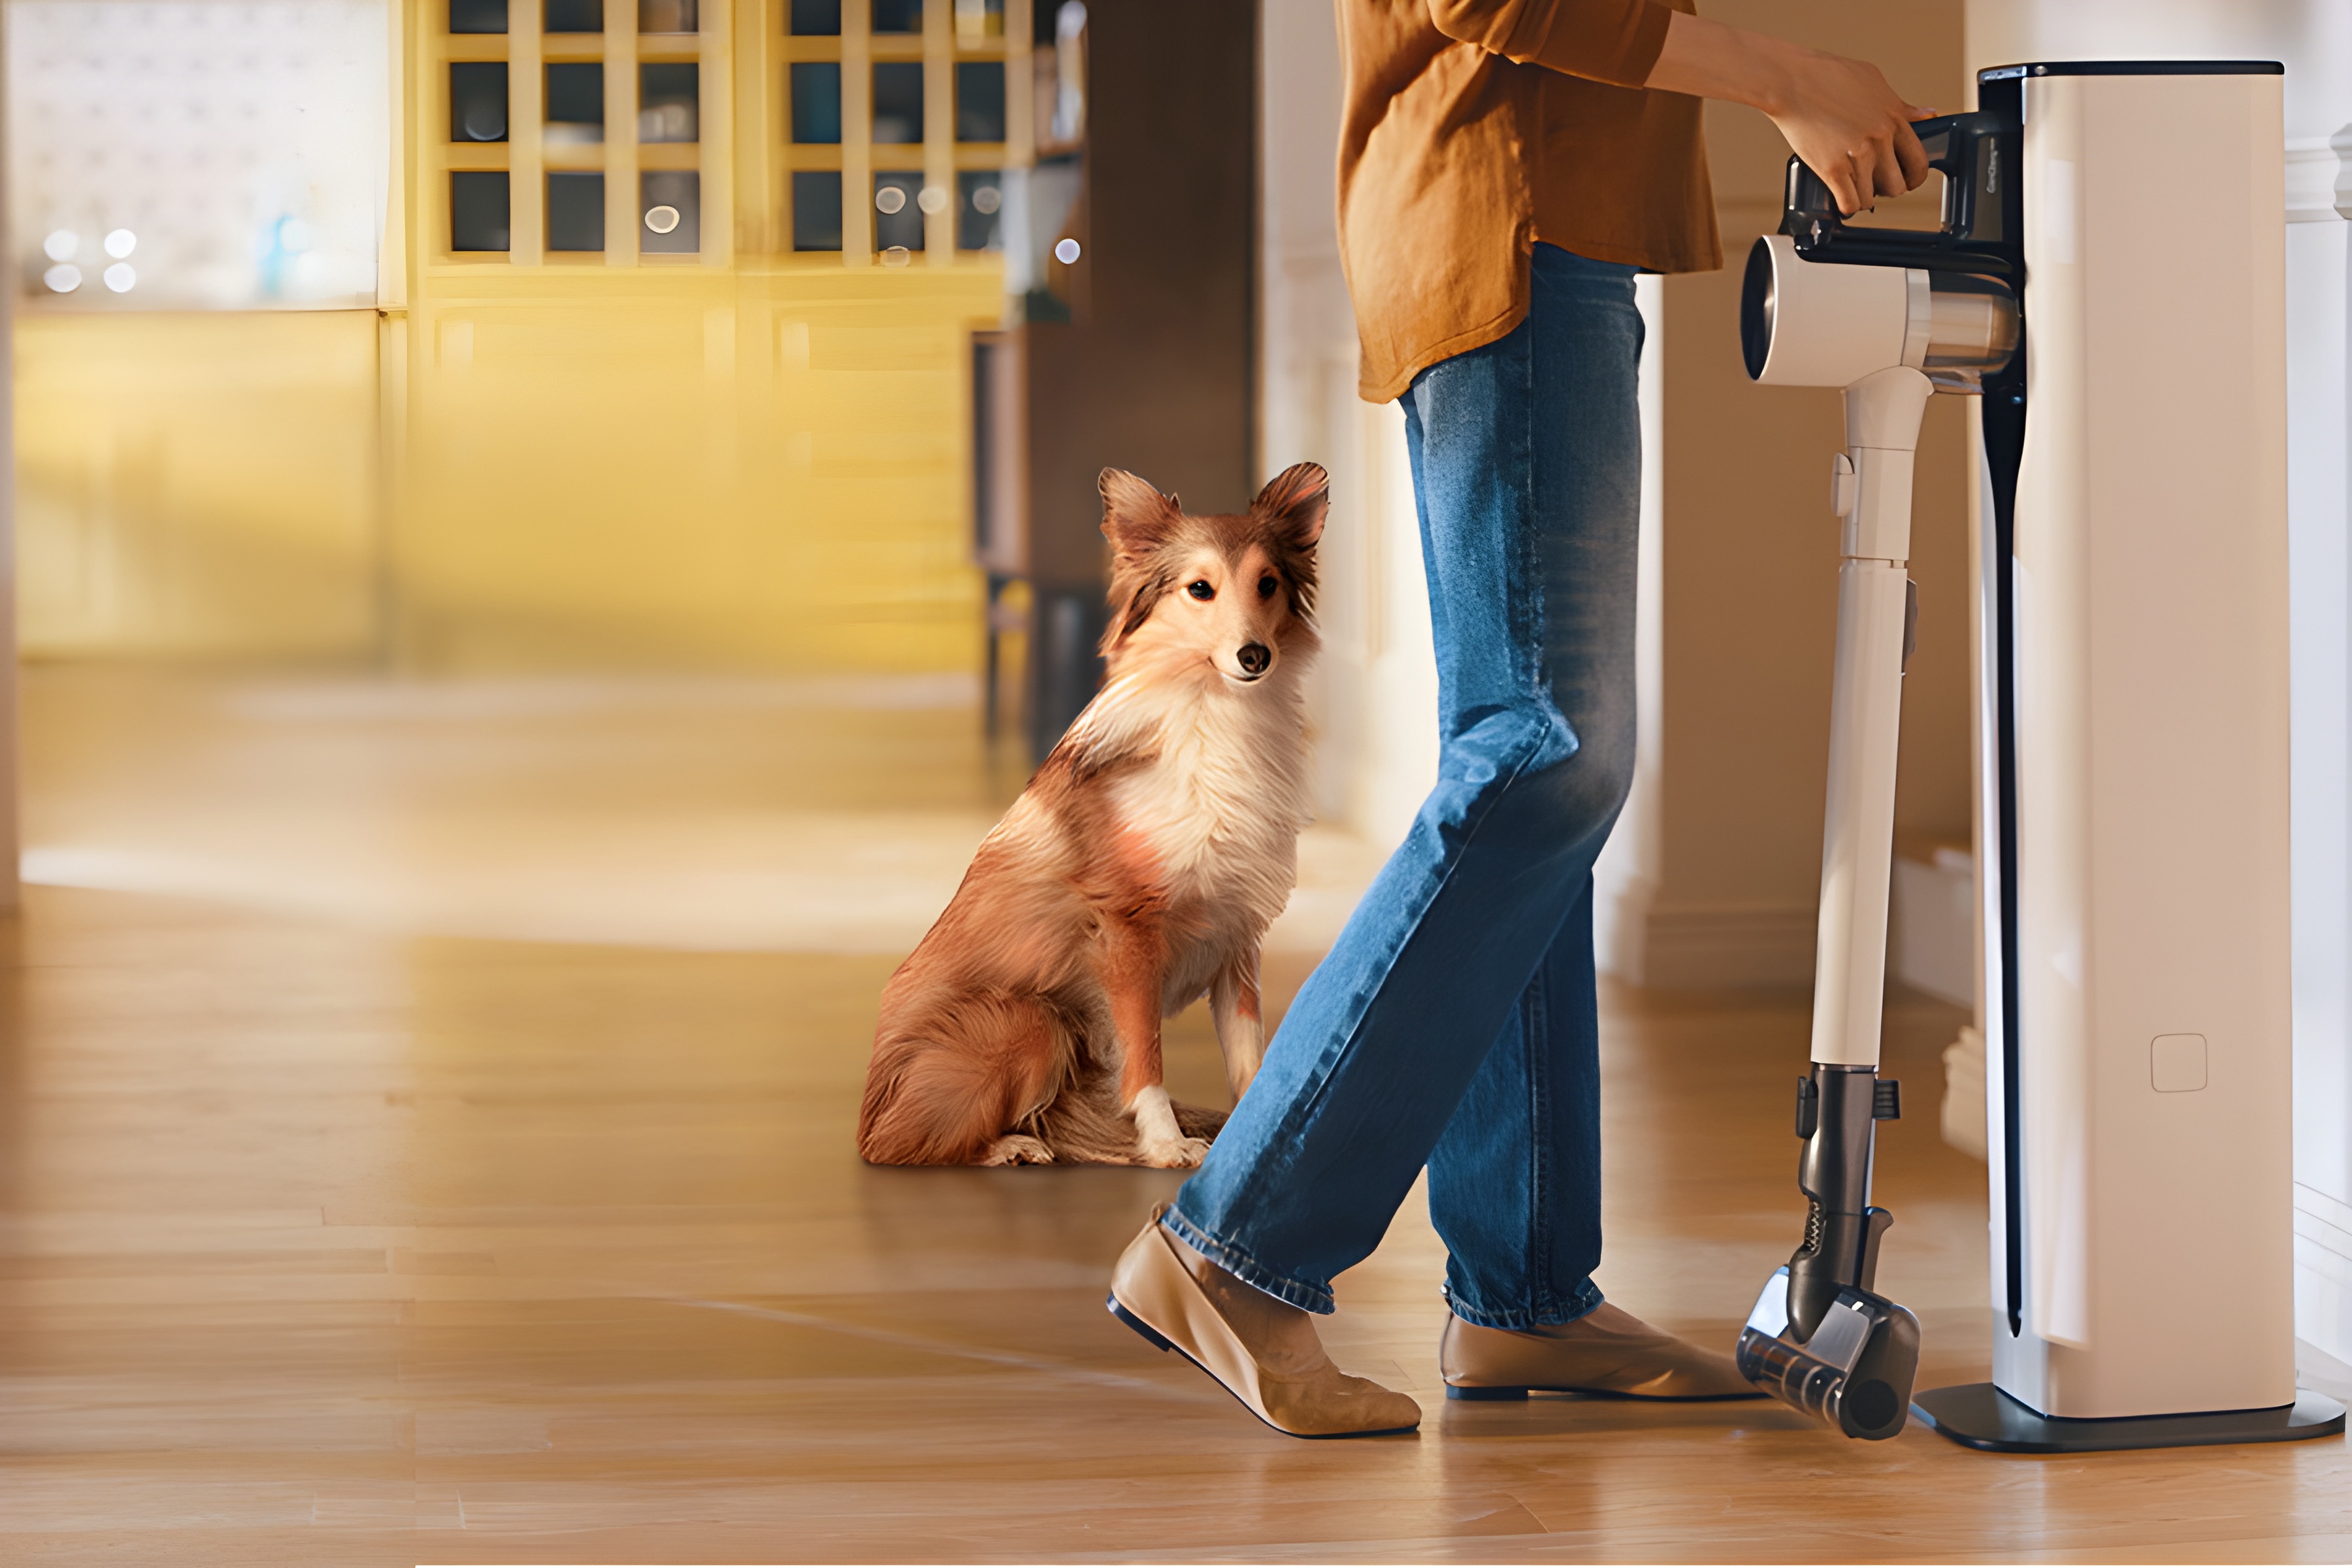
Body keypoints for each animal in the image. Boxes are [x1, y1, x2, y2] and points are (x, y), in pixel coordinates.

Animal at [865, 465, 1335, 1166]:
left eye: (1268, 583)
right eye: (1200, 589)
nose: (1255, 657)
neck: (1214, 716)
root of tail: (864, 1114)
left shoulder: (1236, 935)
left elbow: (1249, 1055)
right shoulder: (1126, 932)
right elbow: (1145, 1055)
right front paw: (1168, 1145)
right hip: (1032, 1019)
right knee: (909, 1144)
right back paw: (1009, 1148)